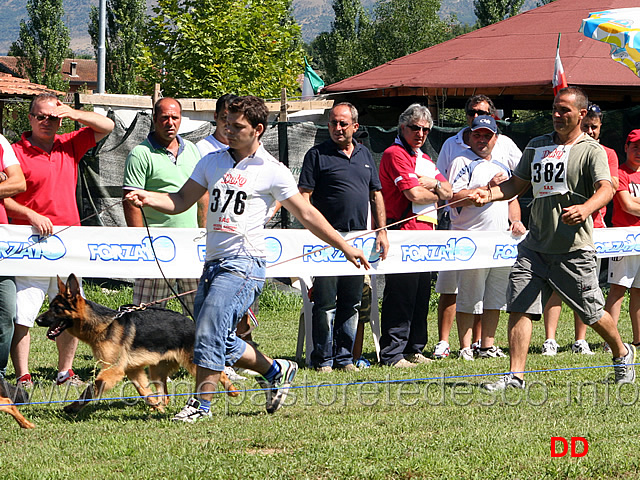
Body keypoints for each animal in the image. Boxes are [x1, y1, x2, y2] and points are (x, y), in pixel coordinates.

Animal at [35, 276, 240, 414]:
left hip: (192, 364)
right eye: (50, 306)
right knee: (164, 394)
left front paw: (73, 407)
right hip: (156, 371)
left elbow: (91, 388)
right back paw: (160, 407)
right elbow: (144, 391)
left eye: (57, 309)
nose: (37, 320)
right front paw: (155, 406)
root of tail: (193, 323)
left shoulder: (113, 369)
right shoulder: (132, 370)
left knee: (219, 372)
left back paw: (233, 391)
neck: (104, 324)